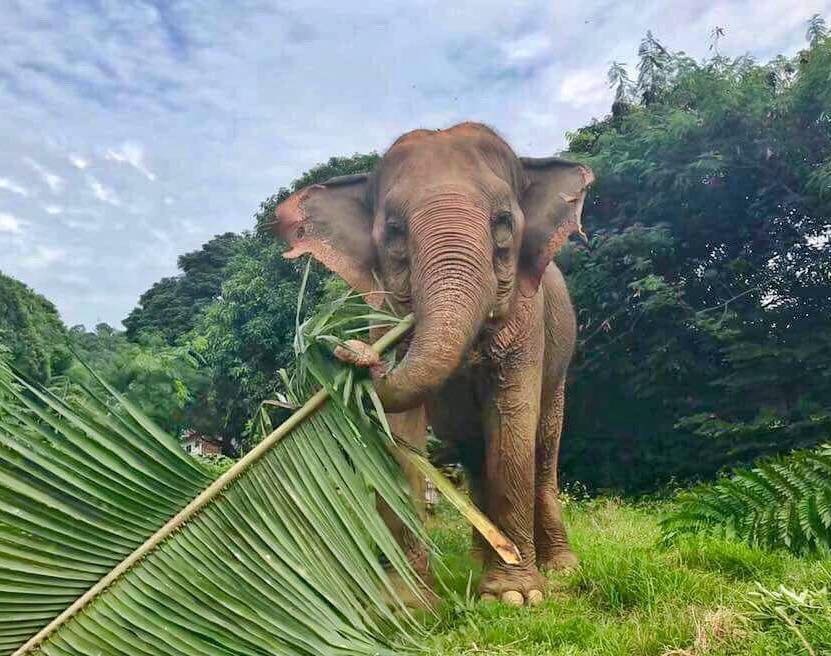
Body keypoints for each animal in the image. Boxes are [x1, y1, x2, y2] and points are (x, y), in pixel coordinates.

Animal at [276, 121, 596, 604]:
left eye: (504, 224)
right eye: (393, 232)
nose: (351, 353)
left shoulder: (528, 318)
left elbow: (513, 418)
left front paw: (515, 597)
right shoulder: (380, 309)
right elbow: (399, 430)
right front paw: (405, 602)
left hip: (560, 365)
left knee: (543, 450)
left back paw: (559, 568)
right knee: (473, 454)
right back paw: (480, 563)